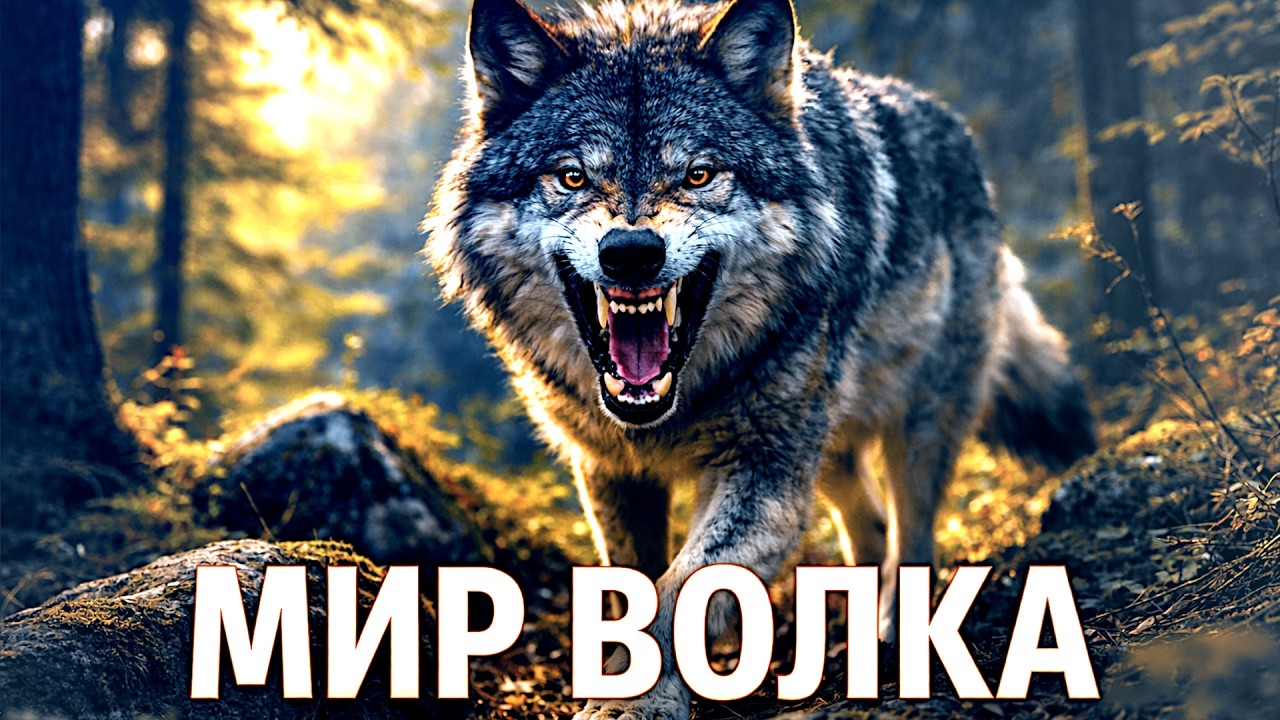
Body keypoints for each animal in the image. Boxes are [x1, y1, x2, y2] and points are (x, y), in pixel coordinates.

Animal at [424, 0, 1096, 716]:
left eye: (698, 174)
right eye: (573, 175)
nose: (631, 253)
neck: (669, 411)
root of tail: (959, 133)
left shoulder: (762, 468)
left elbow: (678, 587)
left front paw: (637, 701)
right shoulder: (612, 471)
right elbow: (632, 590)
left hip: (912, 428)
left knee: (911, 533)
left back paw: (897, 634)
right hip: (825, 446)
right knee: (868, 519)